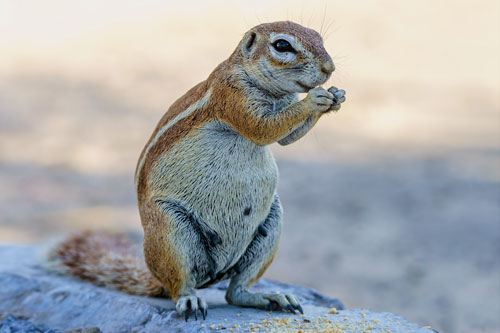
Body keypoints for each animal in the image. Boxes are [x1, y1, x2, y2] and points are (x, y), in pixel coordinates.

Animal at [50, 20, 348, 320]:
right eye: (282, 45)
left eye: (319, 37)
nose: (329, 68)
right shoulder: (232, 95)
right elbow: (263, 128)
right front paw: (315, 99)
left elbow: (288, 137)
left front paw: (336, 97)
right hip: (171, 232)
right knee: (181, 285)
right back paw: (191, 300)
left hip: (270, 226)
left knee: (235, 291)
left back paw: (271, 297)